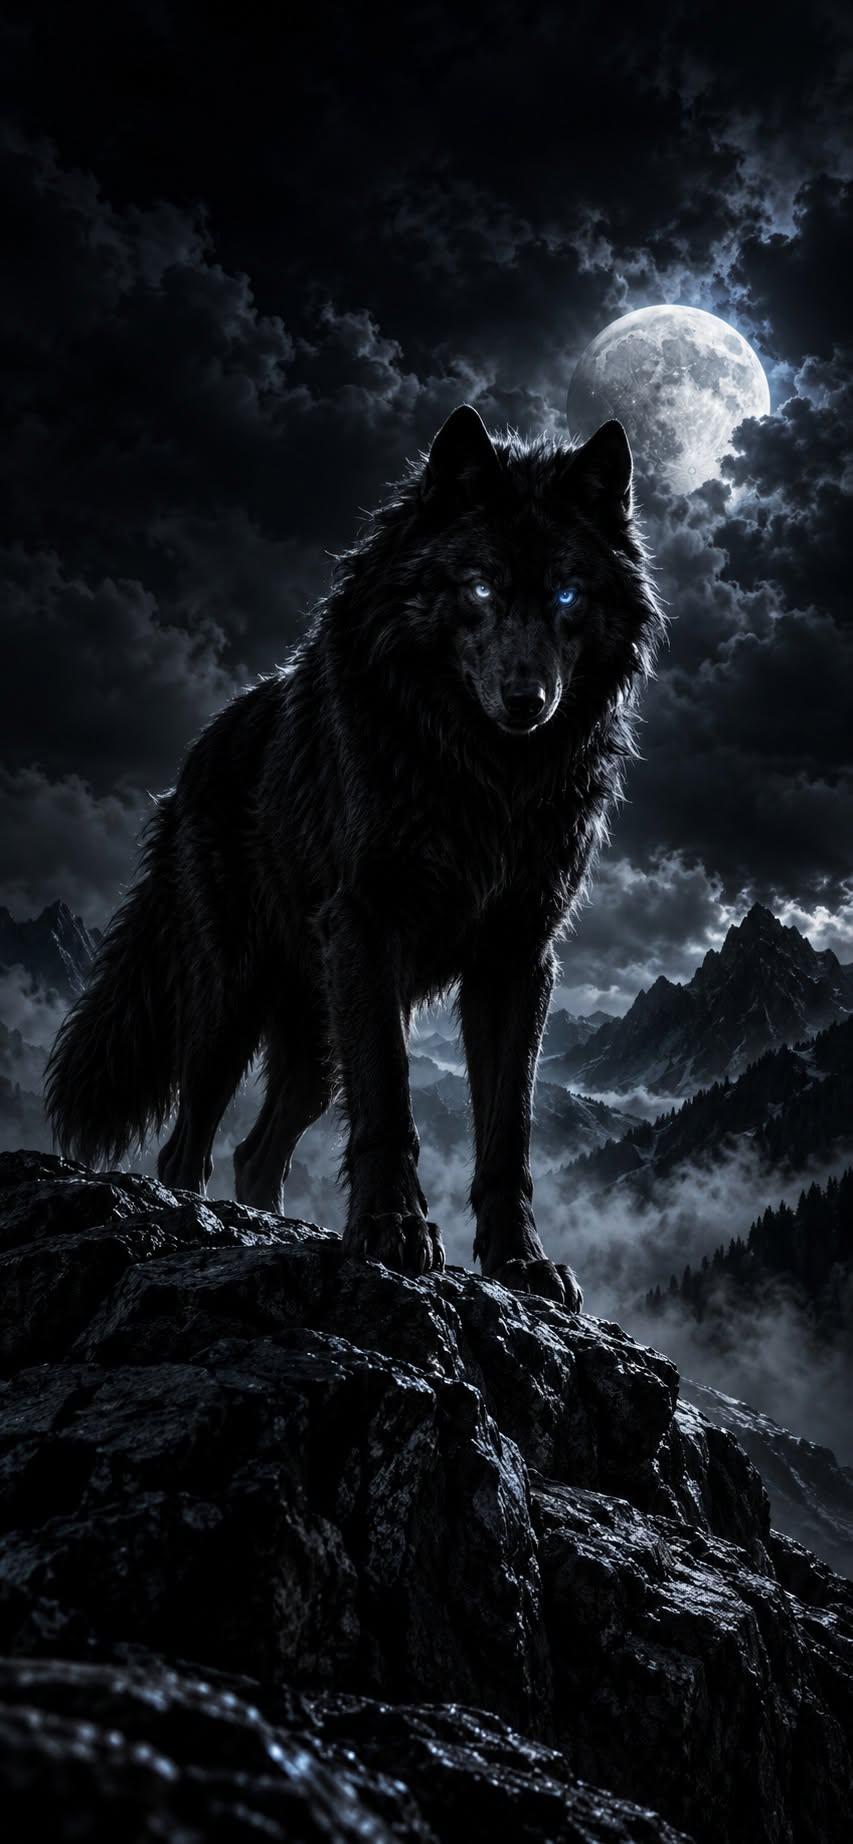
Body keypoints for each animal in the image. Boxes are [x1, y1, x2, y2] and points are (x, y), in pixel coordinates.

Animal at [46, 405, 665, 1306]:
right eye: (478, 588)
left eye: (565, 594)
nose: (527, 701)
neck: (485, 779)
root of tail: (195, 755)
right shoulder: (371, 927)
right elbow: (392, 1107)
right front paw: (391, 1231)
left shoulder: (517, 958)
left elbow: (506, 1132)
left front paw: (519, 1262)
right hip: (234, 1002)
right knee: (185, 1143)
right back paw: (204, 1228)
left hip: (314, 1042)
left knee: (256, 1150)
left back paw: (271, 1228)